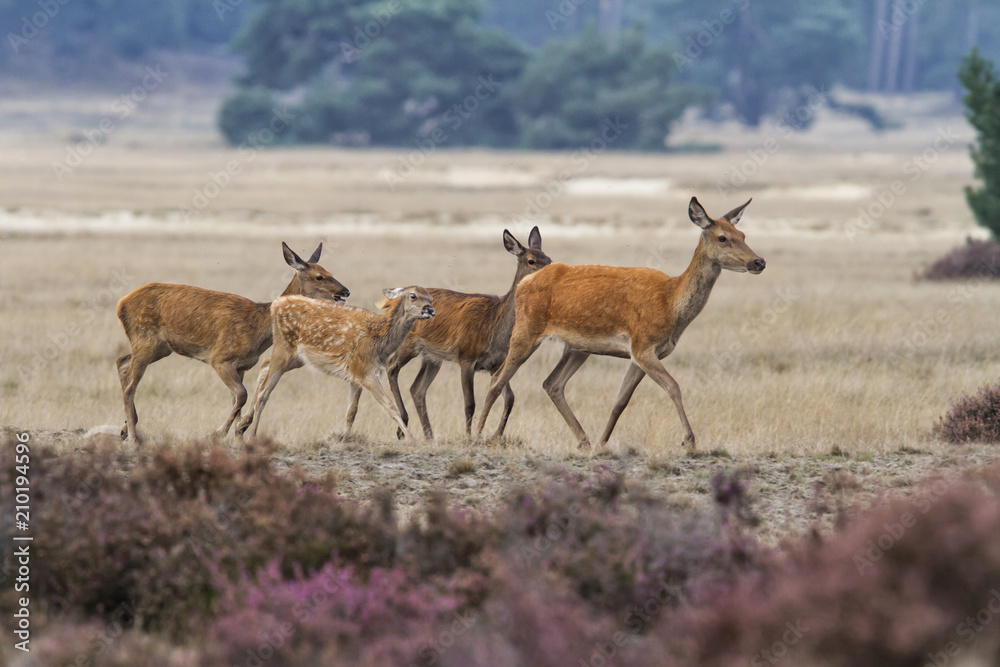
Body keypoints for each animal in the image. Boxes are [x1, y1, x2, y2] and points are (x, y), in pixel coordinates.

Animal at [116, 242, 350, 444]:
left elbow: (237, 399)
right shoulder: (220, 358)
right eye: (319, 276)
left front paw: (238, 437)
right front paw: (217, 433)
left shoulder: (242, 365)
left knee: (122, 363)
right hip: (146, 338)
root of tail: (121, 304)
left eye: (330, 272)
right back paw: (134, 438)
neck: (258, 329)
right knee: (129, 386)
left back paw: (125, 429)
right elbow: (242, 395)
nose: (345, 291)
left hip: (158, 347)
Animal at [237, 287, 435, 440]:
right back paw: (252, 435)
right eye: (413, 295)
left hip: (296, 357)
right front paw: (412, 439)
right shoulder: (365, 370)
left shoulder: (357, 373)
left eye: (431, 298)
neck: (379, 343)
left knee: (264, 366)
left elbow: (351, 411)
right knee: (264, 391)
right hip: (284, 347)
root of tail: (276, 304)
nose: (430, 309)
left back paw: (242, 425)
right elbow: (390, 406)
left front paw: (345, 438)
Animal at [386, 227, 551, 440]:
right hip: (408, 343)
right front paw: (469, 437)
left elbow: (509, 398)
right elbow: (469, 404)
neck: (494, 329)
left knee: (417, 388)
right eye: (531, 260)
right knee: (391, 367)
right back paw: (403, 424)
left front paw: (495, 436)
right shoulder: (466, 357)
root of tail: (391, 303)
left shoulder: (495, 363)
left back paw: (429, 435)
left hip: (432, 357)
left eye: (549, 259)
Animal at [474, 197, 765, 451]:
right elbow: (674, 387)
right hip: (525, 332)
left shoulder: (641, 355)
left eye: (743, 234)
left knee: (552, 384)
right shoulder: (643, 345)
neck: (671, 305)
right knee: (498, 380)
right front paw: (689, 441)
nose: (758, 261)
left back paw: (584, 440)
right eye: (722, 237)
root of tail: (523, 284)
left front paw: (602, 444)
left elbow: (620, 401)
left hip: (577, 347)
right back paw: (476, 435)